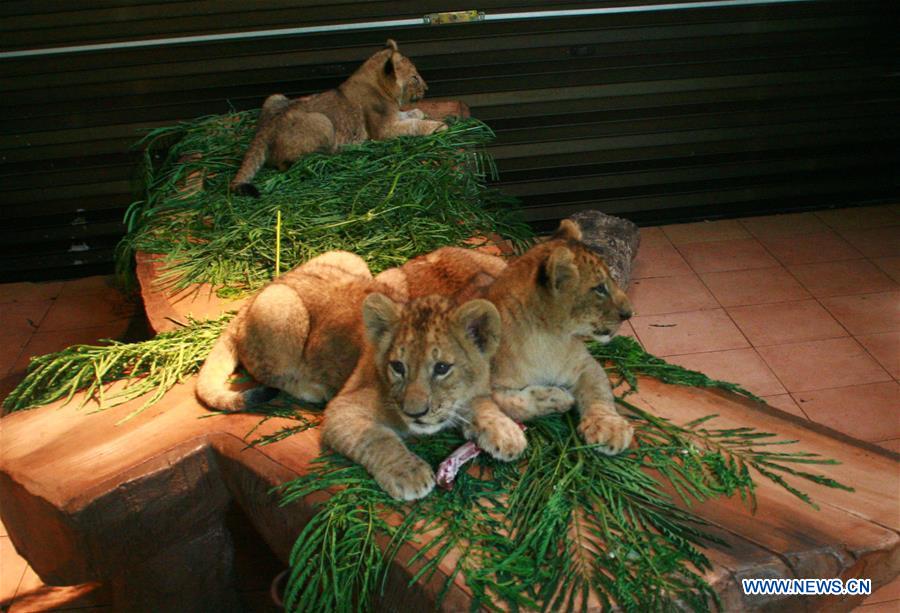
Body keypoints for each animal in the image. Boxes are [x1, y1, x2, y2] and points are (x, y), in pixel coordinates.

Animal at [231, 39, 445, 197]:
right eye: (414, 78)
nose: (427, 88)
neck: (380, 88)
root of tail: (265, 129)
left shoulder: (392, 117)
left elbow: (408, 115)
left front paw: (419, 112)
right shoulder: (382, 131)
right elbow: (412, 125)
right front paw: (438, 126)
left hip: (275, 97)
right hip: (323, 122)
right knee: (287, 164)